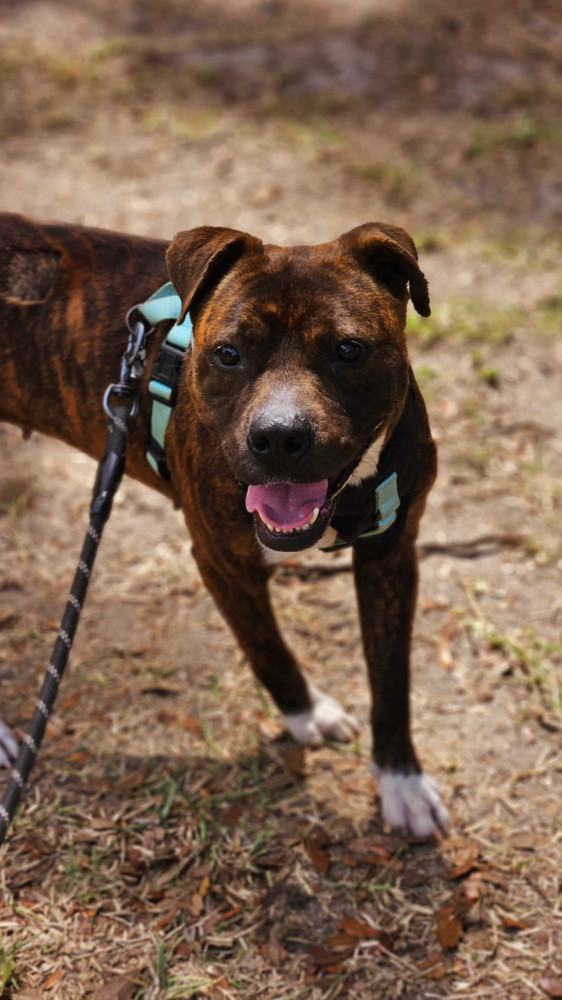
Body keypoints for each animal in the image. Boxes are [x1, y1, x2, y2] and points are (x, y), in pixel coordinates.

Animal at [0, 211, 446, 836]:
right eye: (229, 353)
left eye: (348, 349)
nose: (280, 435)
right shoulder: (223, 563)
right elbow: (268, 648)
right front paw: (308, 715)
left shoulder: (392, 557)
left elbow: (391, 677)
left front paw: (400, 780)